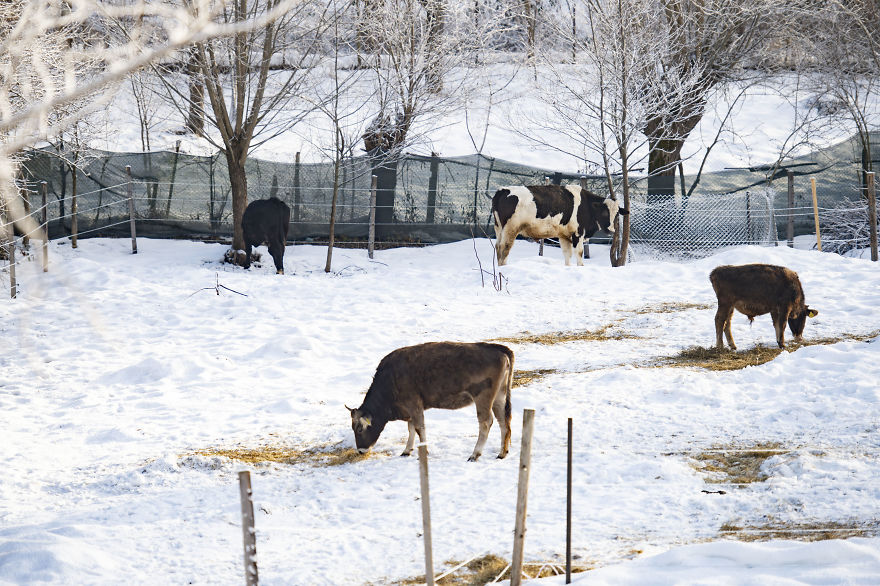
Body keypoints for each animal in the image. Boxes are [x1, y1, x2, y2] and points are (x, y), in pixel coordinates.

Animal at [346, 341, 515, 461]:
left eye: (359, 429)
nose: (360, 451)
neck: (390, 379)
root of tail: (498, 348)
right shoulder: (410, 409)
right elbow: (411, 428)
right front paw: (407, 450)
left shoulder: (414, 405)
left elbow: (419, 428)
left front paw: (423, 451)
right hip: (499, 397)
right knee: (503, 421)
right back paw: (502, 453)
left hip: (483, 399)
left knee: (486, 422)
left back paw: (475, 454)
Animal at [491, 184, 628, 266]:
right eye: (604, 212)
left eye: (617, 214)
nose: (611, 230)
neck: (586, 205)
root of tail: (503, 190)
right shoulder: (578, 233)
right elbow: (579, 253)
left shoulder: (564, 235)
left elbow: (567, 254)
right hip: (511, 229)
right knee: (504, 248)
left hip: (499, 228)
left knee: (497, 247)